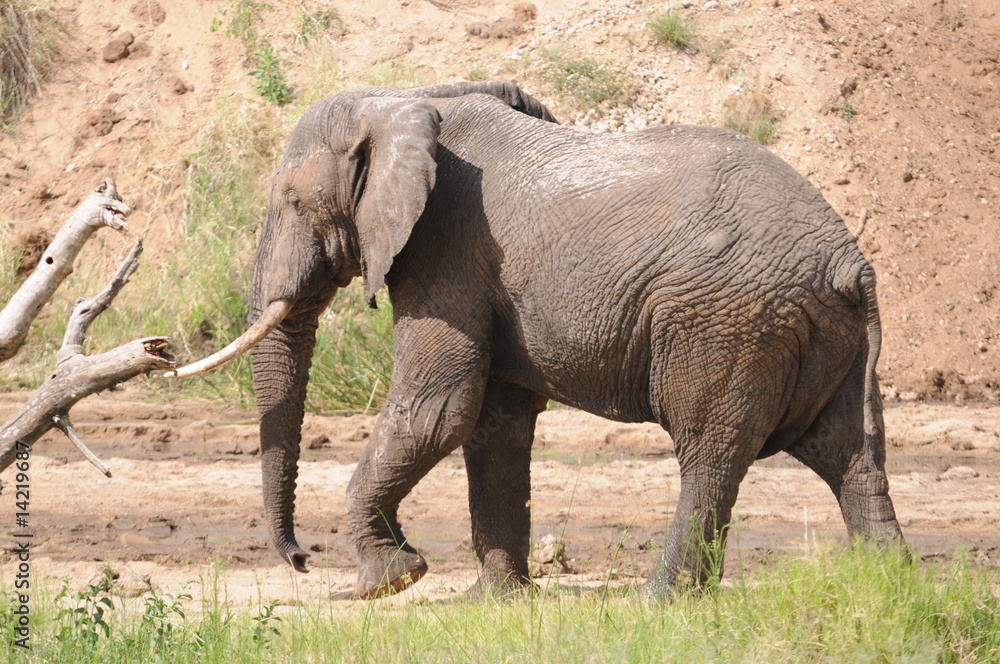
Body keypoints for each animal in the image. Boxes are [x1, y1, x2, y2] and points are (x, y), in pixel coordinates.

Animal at [171, 80, 903, 599]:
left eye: (294, 202)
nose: (301, 560)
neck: (403, 98)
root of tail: (851, 262)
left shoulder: (446, 252)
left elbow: (439, 410)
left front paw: (387, 583)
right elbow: (493, 424)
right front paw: (491, 604)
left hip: (728, 322)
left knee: (710, 453)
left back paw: (659, 604)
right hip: (812, 332)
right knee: (849, 456)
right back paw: (887, 590)